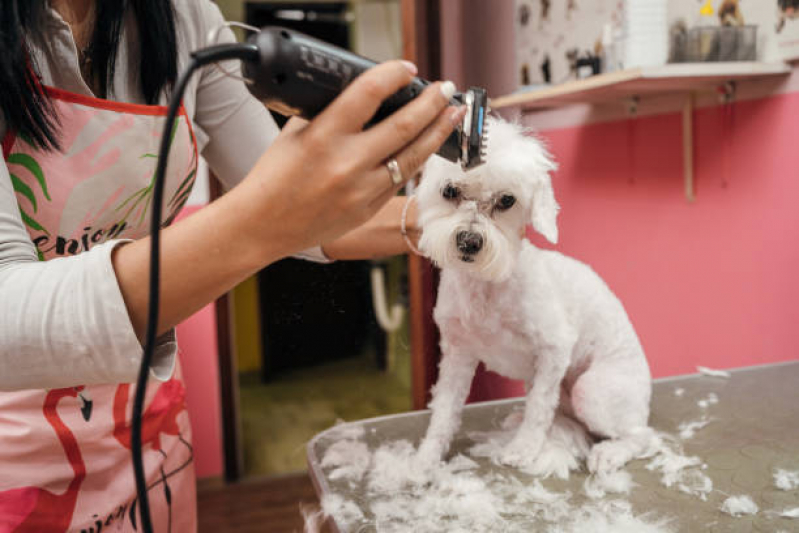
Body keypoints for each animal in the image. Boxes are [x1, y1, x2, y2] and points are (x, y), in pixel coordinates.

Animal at [416, 118, 652, 476]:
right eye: (450, 191)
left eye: (507, 200)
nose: (469, 241)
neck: (486, 285)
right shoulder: (457, 354)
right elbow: (444, 412)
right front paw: (426, 458)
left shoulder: (555, 349)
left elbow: (540, 408)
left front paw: (523, 449)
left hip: (592, 390)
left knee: (642, 435)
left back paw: (610, 453)